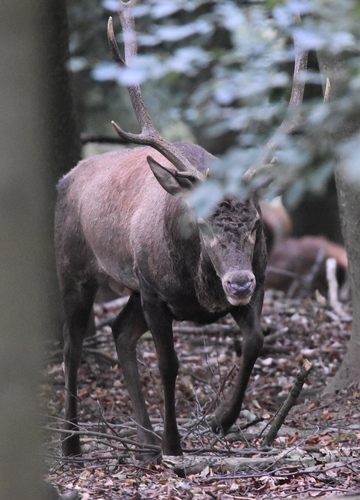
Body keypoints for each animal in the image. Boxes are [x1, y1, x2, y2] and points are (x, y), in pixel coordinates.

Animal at [54, 0, 268, 460]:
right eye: (202, 220)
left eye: (256, 223)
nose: (238, 282)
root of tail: (66, 178)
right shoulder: (155, 293)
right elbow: (169, 365)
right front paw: (175, 445)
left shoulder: (259, 283)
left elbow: (256, 339)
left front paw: (221, 420)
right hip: (74, 269)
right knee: (72, 346)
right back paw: (72, 441)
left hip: (132, 287)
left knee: (119, 332)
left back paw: (144, 439)